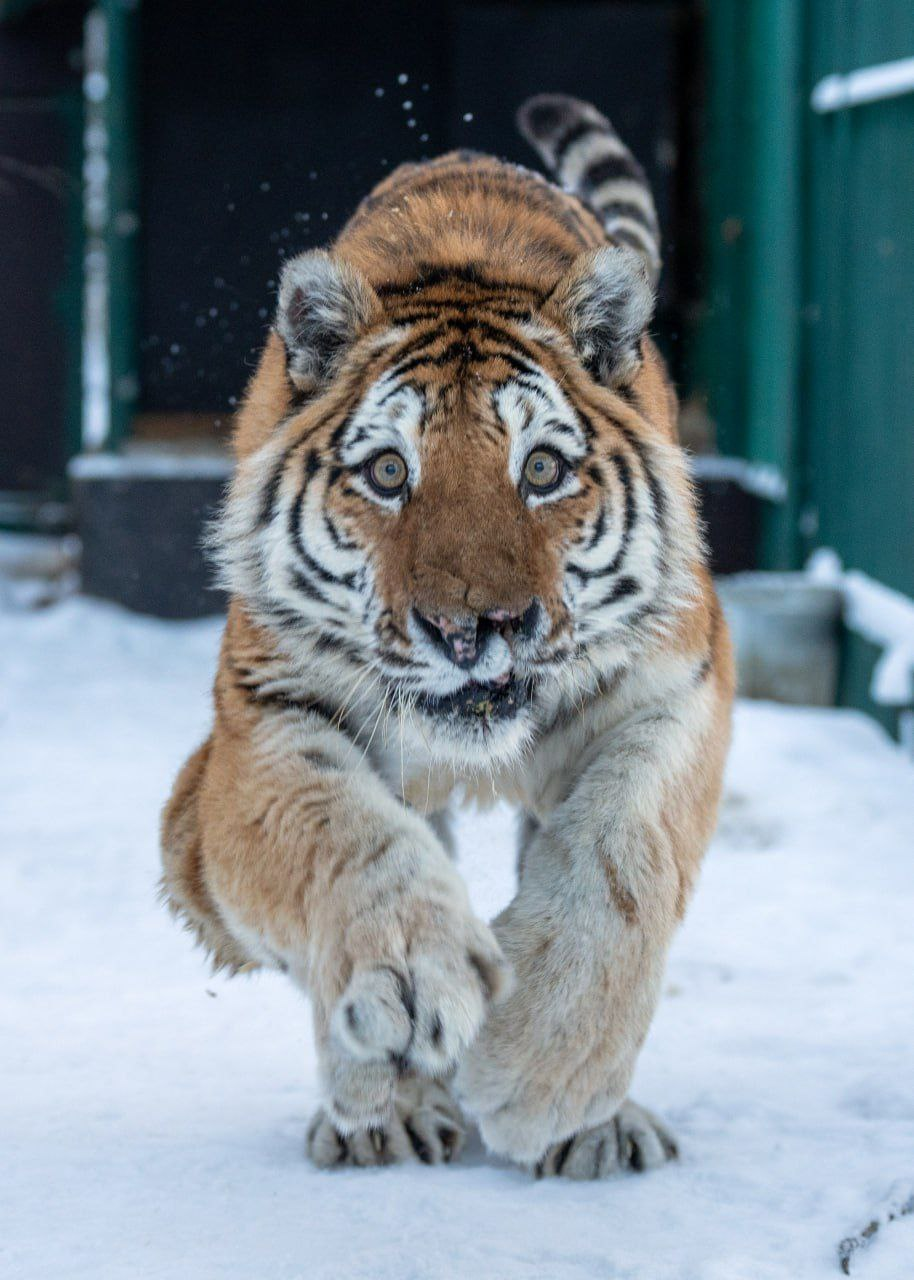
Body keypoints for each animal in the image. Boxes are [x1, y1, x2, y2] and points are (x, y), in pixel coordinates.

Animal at [161, 92, 732, 1177]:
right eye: (389, 473)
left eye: (542, 469)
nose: (477, 628)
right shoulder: (258, 722)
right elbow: (337, 829)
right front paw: (405, 984)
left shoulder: (676, 686)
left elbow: (619, 859)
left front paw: (542, 1071)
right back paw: (378, 1113)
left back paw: (592, 1126)